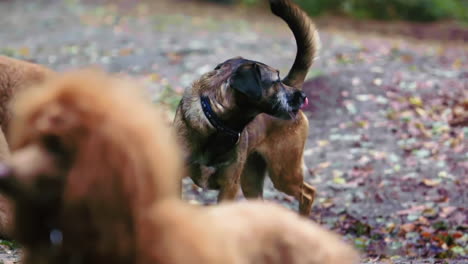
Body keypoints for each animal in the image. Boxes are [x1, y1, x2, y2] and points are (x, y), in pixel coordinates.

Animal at [174, 0, 320, 216]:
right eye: (276, 82)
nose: (303, 97)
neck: (215, 123)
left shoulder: (229, 186)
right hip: (252, 180)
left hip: (283, 172)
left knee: (308, 193)